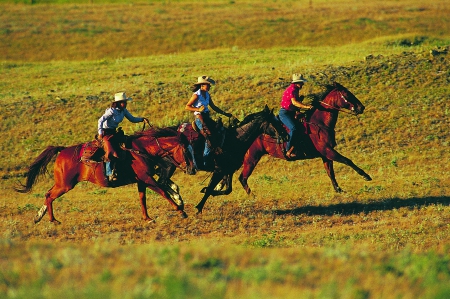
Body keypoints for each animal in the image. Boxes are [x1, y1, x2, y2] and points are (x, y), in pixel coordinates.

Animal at [14, 127, 194, 224]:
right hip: (65, 184)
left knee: (47, 194)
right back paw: (53, 220)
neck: (141, 150)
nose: (192, 169)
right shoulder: (147, 179)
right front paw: (180, 211)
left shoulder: (142, 181)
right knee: (50, 196)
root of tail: (63, 150)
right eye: (186, 151)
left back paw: (38, 217)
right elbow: (163, 192)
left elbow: (143, 199)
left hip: (61, 183)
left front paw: (147, 218)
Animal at [239, 82, 372, 196]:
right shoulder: (328, 151)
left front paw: (338, 189)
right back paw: (253, 196)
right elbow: (347, 161)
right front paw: (366, 176)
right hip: (251, 158)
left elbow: (330, 172)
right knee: (243, 178)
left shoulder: (325, 155)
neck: (319, 123)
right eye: (347, 94)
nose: (361, 107)